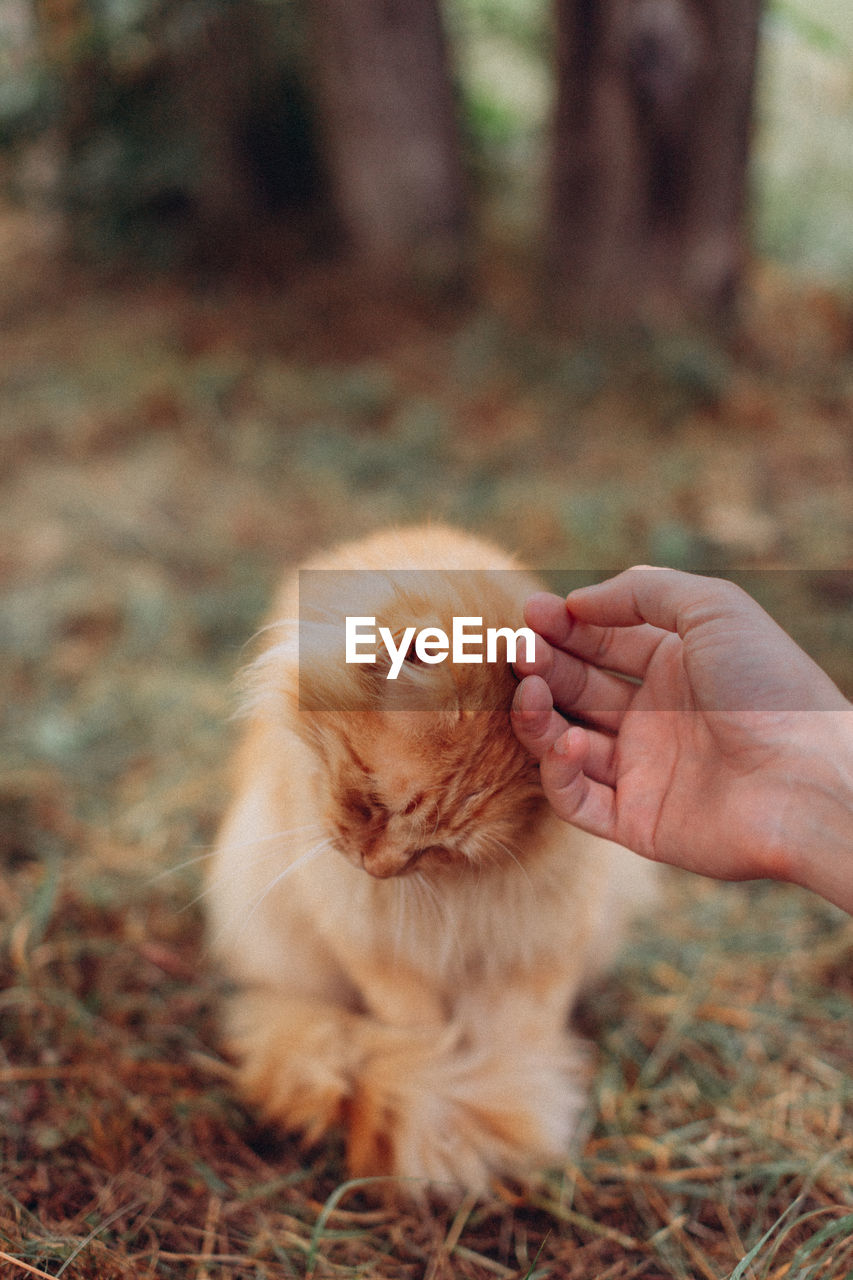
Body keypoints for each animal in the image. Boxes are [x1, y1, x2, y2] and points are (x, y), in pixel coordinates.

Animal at [208, 524, 653, 1192]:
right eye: (372, 804)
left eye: (441, 850)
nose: (379, 870)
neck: (455, 897)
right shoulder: (376, 948)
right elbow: (420, 1036)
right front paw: (472, 1097)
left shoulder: (538, 946)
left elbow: (518, 1036)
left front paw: (518, 1100)